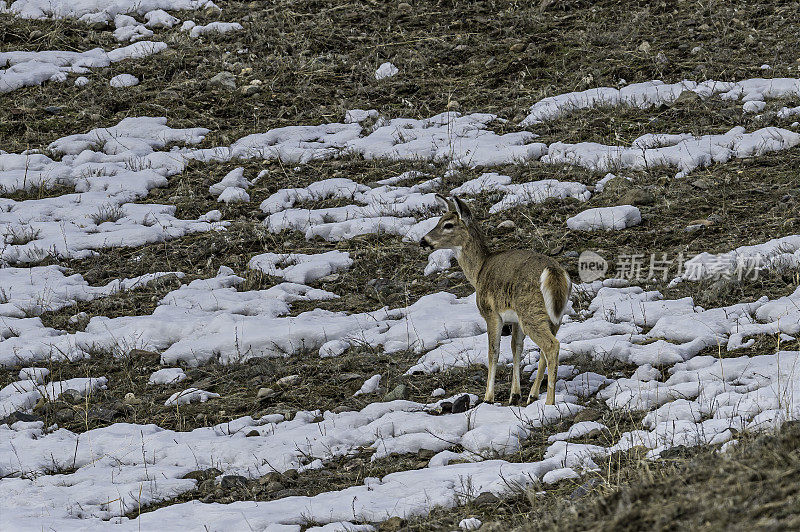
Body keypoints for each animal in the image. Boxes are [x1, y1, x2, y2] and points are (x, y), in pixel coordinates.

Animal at [422, 193, 572, 406]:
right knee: (547, 347)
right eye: (438, 220)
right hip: (555, 315)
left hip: (530, 312)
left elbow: (493, 351)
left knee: (551, 346)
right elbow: (516, 348)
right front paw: (514, 394)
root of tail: (554, 272)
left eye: (448, 224)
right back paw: (533, 395)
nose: (423, 240)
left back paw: (549, 402)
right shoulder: (514, 319)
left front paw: (488, 397)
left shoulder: (491, 312)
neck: (478, 271)